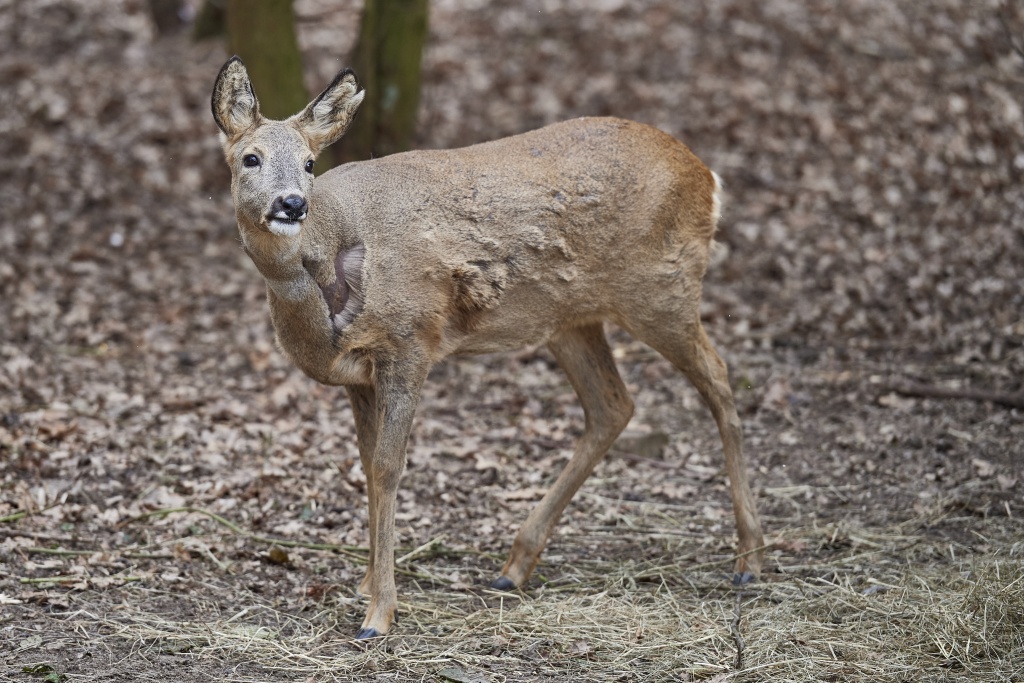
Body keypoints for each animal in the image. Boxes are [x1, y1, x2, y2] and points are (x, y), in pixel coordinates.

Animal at [211, 56, 765, 638]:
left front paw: (379, 612)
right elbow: (365, 463)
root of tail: (708, 176)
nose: (292, 204)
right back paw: (514, 565)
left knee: (719, 378)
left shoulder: (411, 341)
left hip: (662, 290)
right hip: (571, 320)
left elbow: (388, 466)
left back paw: (749, 560)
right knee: (613, 405)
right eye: (251, 157)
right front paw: (366, 584)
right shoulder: (357, 376)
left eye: (310, 162)